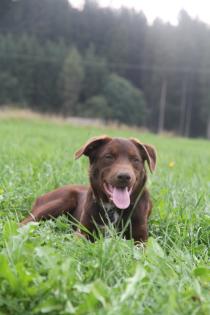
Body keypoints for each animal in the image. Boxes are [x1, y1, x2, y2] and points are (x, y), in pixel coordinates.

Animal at [20, 137, 156, 243]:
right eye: (109, 157)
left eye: (135, 159)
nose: (124, 176)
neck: (113, 208)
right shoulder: (83, 232)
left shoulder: (140, 238)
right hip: (63, 199)